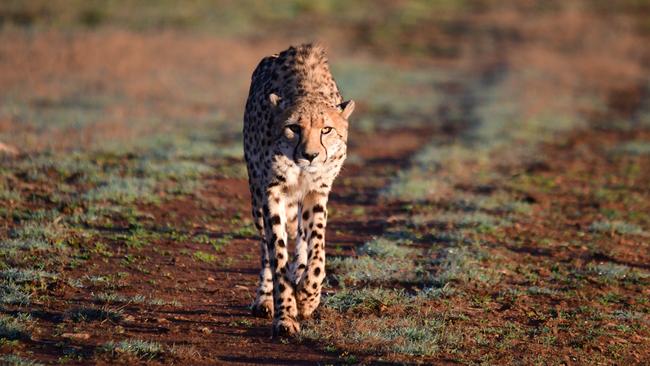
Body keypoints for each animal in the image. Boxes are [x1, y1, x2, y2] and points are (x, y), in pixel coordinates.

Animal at [243, 44, 354, 336]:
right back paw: (265, 299)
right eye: (293, 127)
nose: (310, 155)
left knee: (302, 239)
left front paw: (307, 297)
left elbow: (317, 251)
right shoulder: (272, 192)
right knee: (265, 249)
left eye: (326, 129)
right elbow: (277, 254)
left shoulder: (317, 192)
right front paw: (285, 315)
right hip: (256, 197)